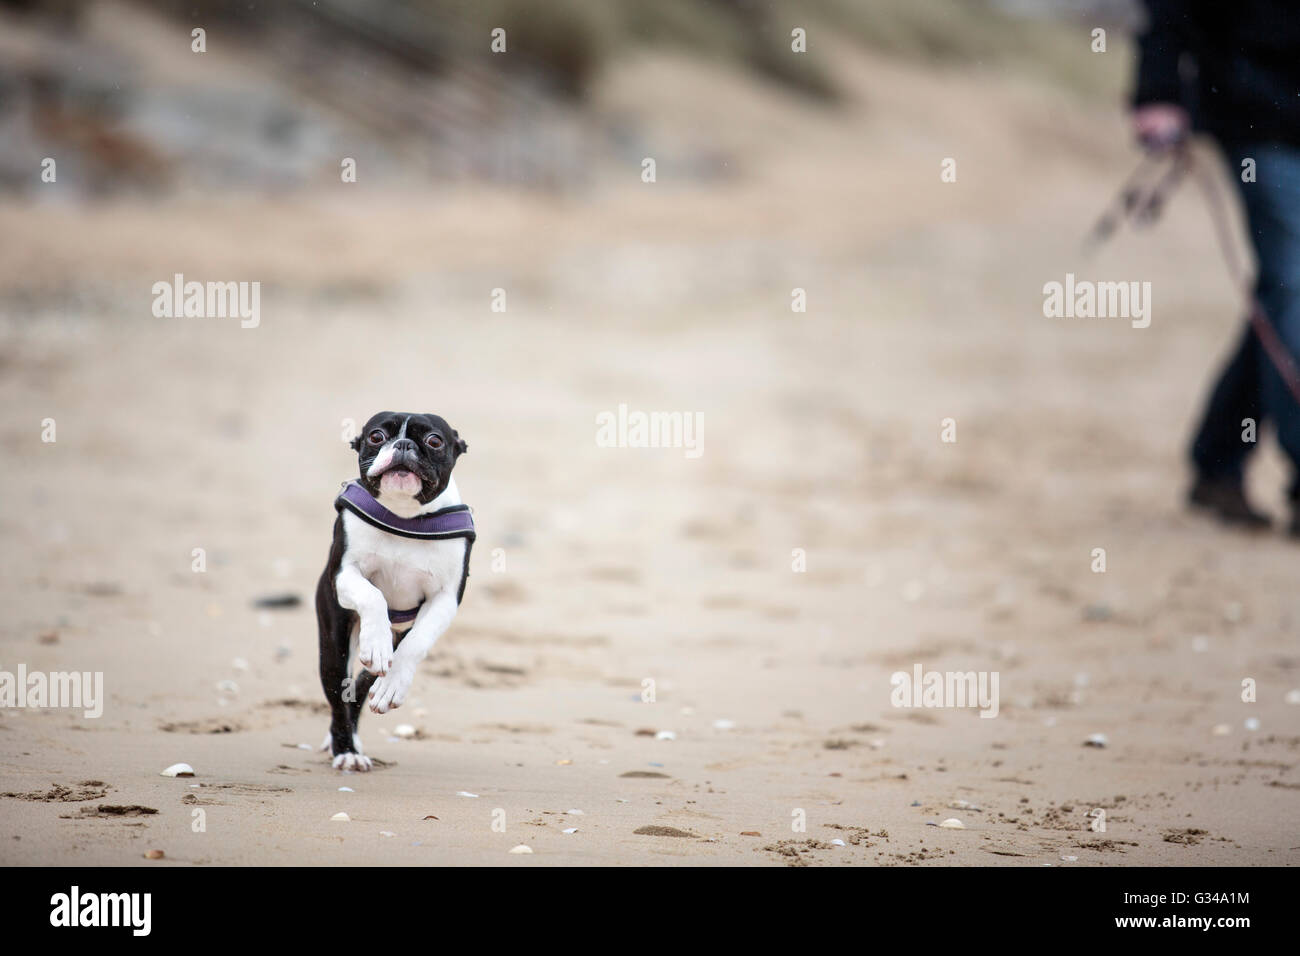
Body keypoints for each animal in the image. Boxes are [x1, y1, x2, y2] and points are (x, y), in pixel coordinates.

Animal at [312, 411, 475, 770]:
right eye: (376, 437)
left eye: (434, 440)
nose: (402, 444)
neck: (406, 517)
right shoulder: (344, 573)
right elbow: (372, 596)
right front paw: (376, 642)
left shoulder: (445, 598)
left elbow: (417, 644)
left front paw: (393, 685)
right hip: (333, 642)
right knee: (339, 693)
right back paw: (346, 750)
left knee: (363, 684)